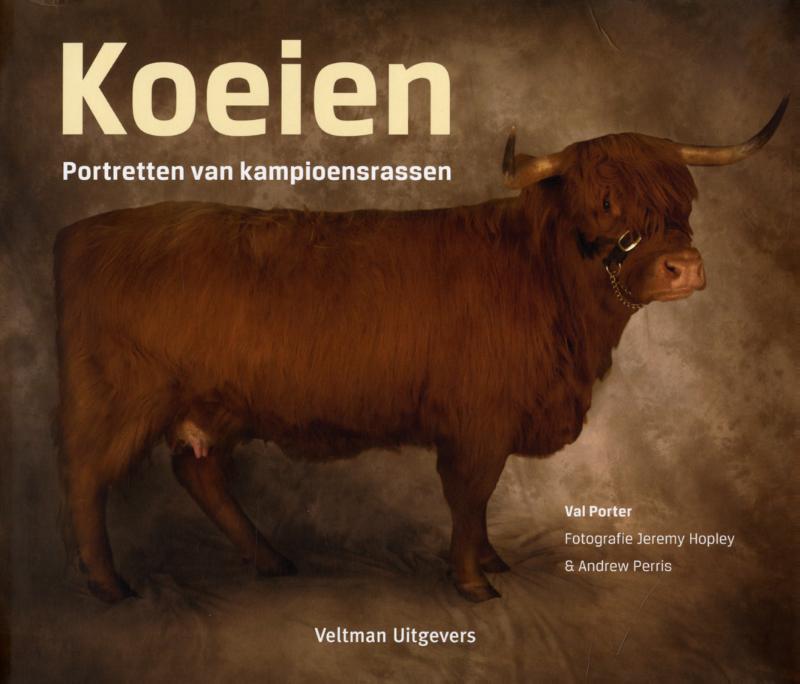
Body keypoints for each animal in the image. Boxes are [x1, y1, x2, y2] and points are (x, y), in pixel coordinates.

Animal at [54, 98, 787, 603]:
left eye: (684, 198)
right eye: (604, 205)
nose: (683, 268)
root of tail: (87, 232)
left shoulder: (493, 422)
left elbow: (481, 503)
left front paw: (490, 561)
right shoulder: (478, 421)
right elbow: (469, 495)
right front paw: (473, 582)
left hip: (212, 407)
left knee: (199, 474)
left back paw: (270, 560)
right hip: (116, 399)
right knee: (87, 478)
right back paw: (108, 585)